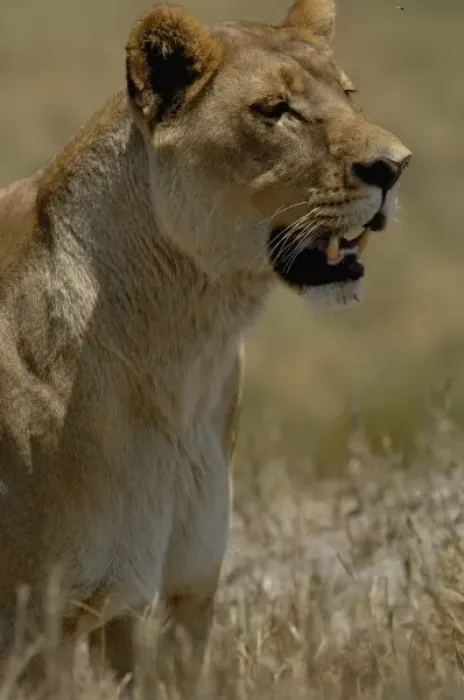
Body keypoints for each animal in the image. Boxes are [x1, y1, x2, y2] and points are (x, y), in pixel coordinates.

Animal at [0, 0, 411, 692]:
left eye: (349, 95)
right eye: (275, 110)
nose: (396, 166)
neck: (186, 350)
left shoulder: (179, 594)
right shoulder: (34, 628)